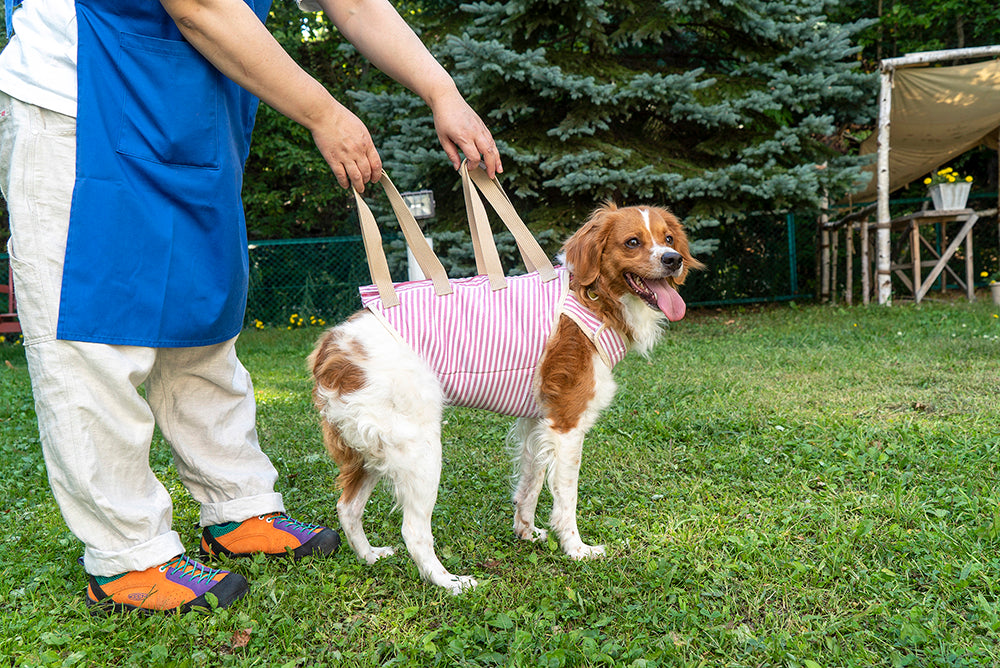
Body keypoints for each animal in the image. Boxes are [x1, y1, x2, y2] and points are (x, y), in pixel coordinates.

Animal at [308, 201, 700, 592]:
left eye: (668, 238)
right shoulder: (567, 424)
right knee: (413, 531)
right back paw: (449, 582)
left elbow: (530, 485)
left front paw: (526, 532)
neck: (592, 296)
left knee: (347, 508)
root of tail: (333, 346)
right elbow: (566, 497)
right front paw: (576, 549)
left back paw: (369, 556)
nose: (673, 260)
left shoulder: (537, 422)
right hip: (420, 450)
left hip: (371, 450)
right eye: (632, 242)